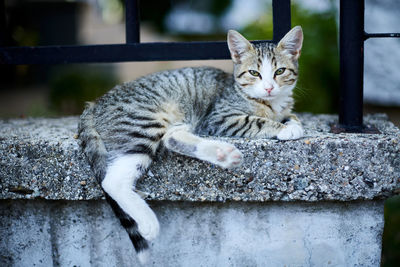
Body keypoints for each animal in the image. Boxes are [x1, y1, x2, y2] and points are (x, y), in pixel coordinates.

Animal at [78, 26, 304, 264]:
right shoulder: (219, 118)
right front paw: (284, 128)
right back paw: (148, 222)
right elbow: (256, 121)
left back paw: (224, 154)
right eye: (254, 73)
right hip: (145, 121)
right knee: (113, 180)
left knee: (171, 138)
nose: (269, 88)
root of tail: (93, 104)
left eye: (280, 71)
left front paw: (292, 122)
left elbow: (292, 115)